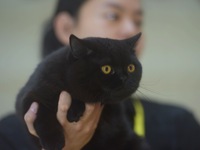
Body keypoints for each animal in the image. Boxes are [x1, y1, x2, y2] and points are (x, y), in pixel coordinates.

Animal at [15, 33, 148, 150]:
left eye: (131, 67)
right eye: (106, 69)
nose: (124, 78)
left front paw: (74, 110)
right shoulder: (32, 95)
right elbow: (43, 115)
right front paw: (53, 142)